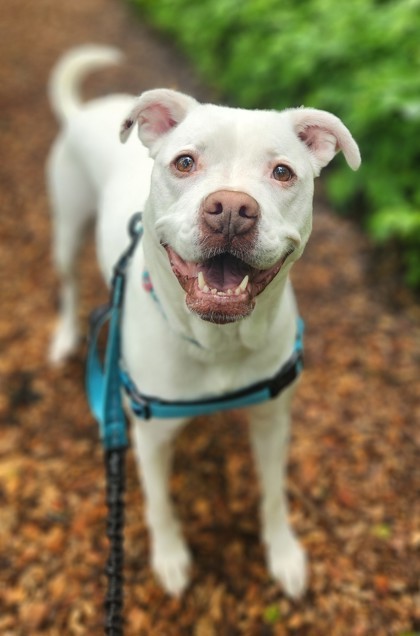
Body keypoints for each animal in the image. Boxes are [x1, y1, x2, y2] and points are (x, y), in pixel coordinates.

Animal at [46, 47, 360, 600]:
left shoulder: (272, 419)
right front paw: (170, 558)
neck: (219, 341)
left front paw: (284, 553)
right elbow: (160, 505)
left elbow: (273, 494)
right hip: (66, 227)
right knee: (67, 285)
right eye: (185, 162)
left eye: (283, 172)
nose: (231, 209)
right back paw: (64, 338)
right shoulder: (148, 439)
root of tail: (86, 109)